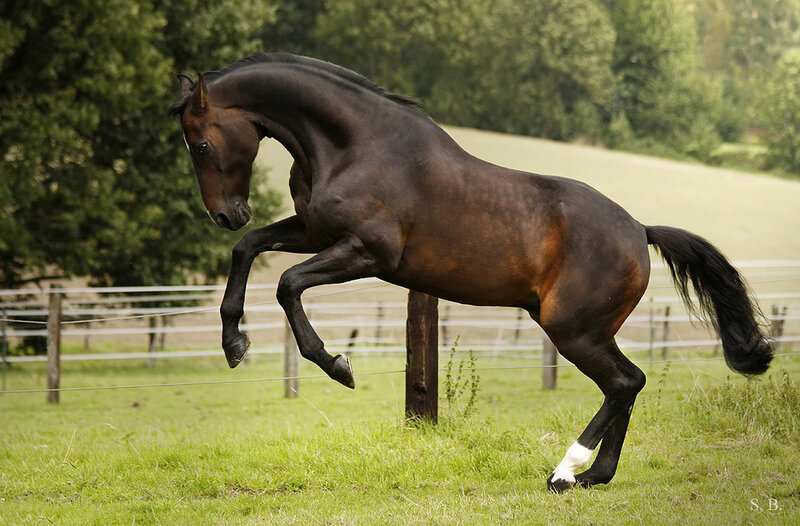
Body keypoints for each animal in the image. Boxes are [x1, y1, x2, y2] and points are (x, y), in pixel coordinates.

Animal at [169, 53, 773, 492]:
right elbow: (248, 250)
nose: (226, 214)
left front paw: (338, 365)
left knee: (626, 382)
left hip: (575, 331)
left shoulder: (367, 253)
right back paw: (593, 477)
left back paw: (564, 472)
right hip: (582, 330)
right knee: (627, 385)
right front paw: (234, 342)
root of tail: (638, 230)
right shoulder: (315, 232)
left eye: (201, 143)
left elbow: (287, 283)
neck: (352, 145)